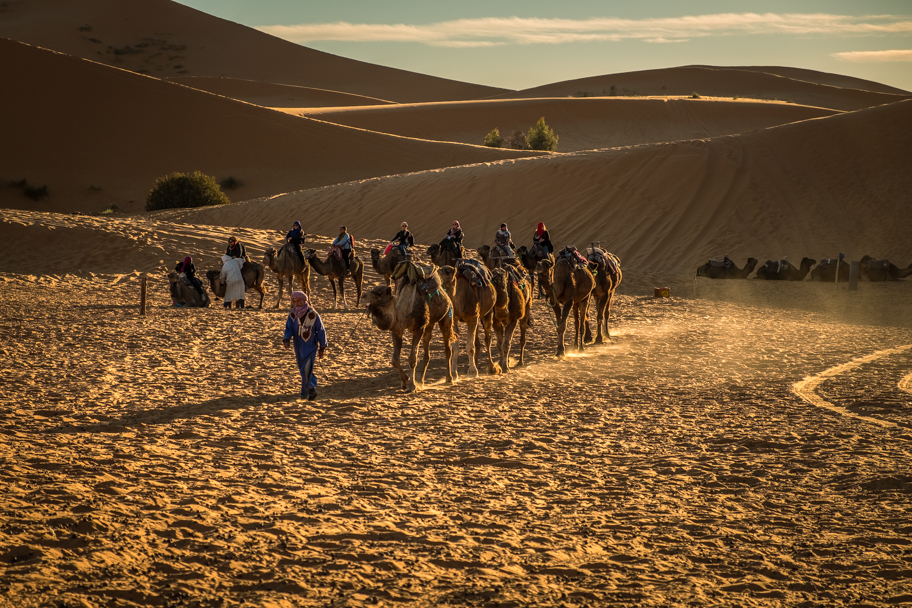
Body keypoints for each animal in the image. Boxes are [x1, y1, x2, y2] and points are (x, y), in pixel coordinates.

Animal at [364, 260, 456, 392]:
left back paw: (449, 378)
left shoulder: (419, 328)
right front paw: (405, 382)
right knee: (427, 353)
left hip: (447, 316)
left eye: (379, 293)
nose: (363, 296)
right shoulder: (397, 330)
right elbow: (395, 360)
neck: (403, 311)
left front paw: (411, 386)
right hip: (429, 324)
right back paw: (421, 381)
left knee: (447, 348)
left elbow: (412, 359)